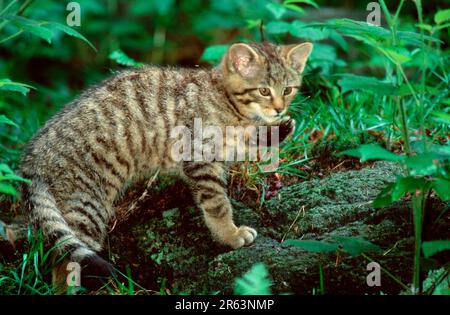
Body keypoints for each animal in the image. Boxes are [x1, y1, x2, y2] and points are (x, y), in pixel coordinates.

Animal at [20, 41, 312, 286]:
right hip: (86, 205)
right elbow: (217, 204)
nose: (279, 108)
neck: (224, 98)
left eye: (288, 90)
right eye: (264, 90)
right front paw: (229, 235)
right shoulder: (200, 156)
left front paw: (275, 131)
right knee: (66, 260)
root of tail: (30, 159)